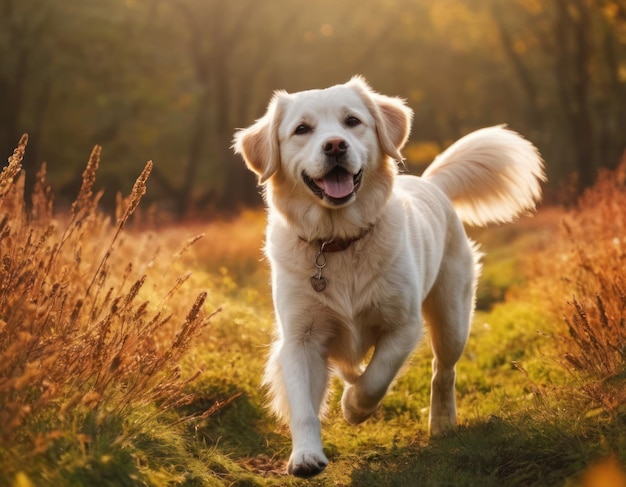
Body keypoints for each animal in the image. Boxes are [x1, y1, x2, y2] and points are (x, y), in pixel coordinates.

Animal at [232, 78, 544, 478]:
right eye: (302, 129)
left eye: (352, 121)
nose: (335, 145)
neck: (338, 241)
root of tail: (432, 184)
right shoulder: (300, 338)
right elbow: (303, 405)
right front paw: (305, 456)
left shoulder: (404, 325)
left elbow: (377, 377)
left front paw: (353, 408)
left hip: (452, 318)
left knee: (443, 371)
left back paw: (443, 422)